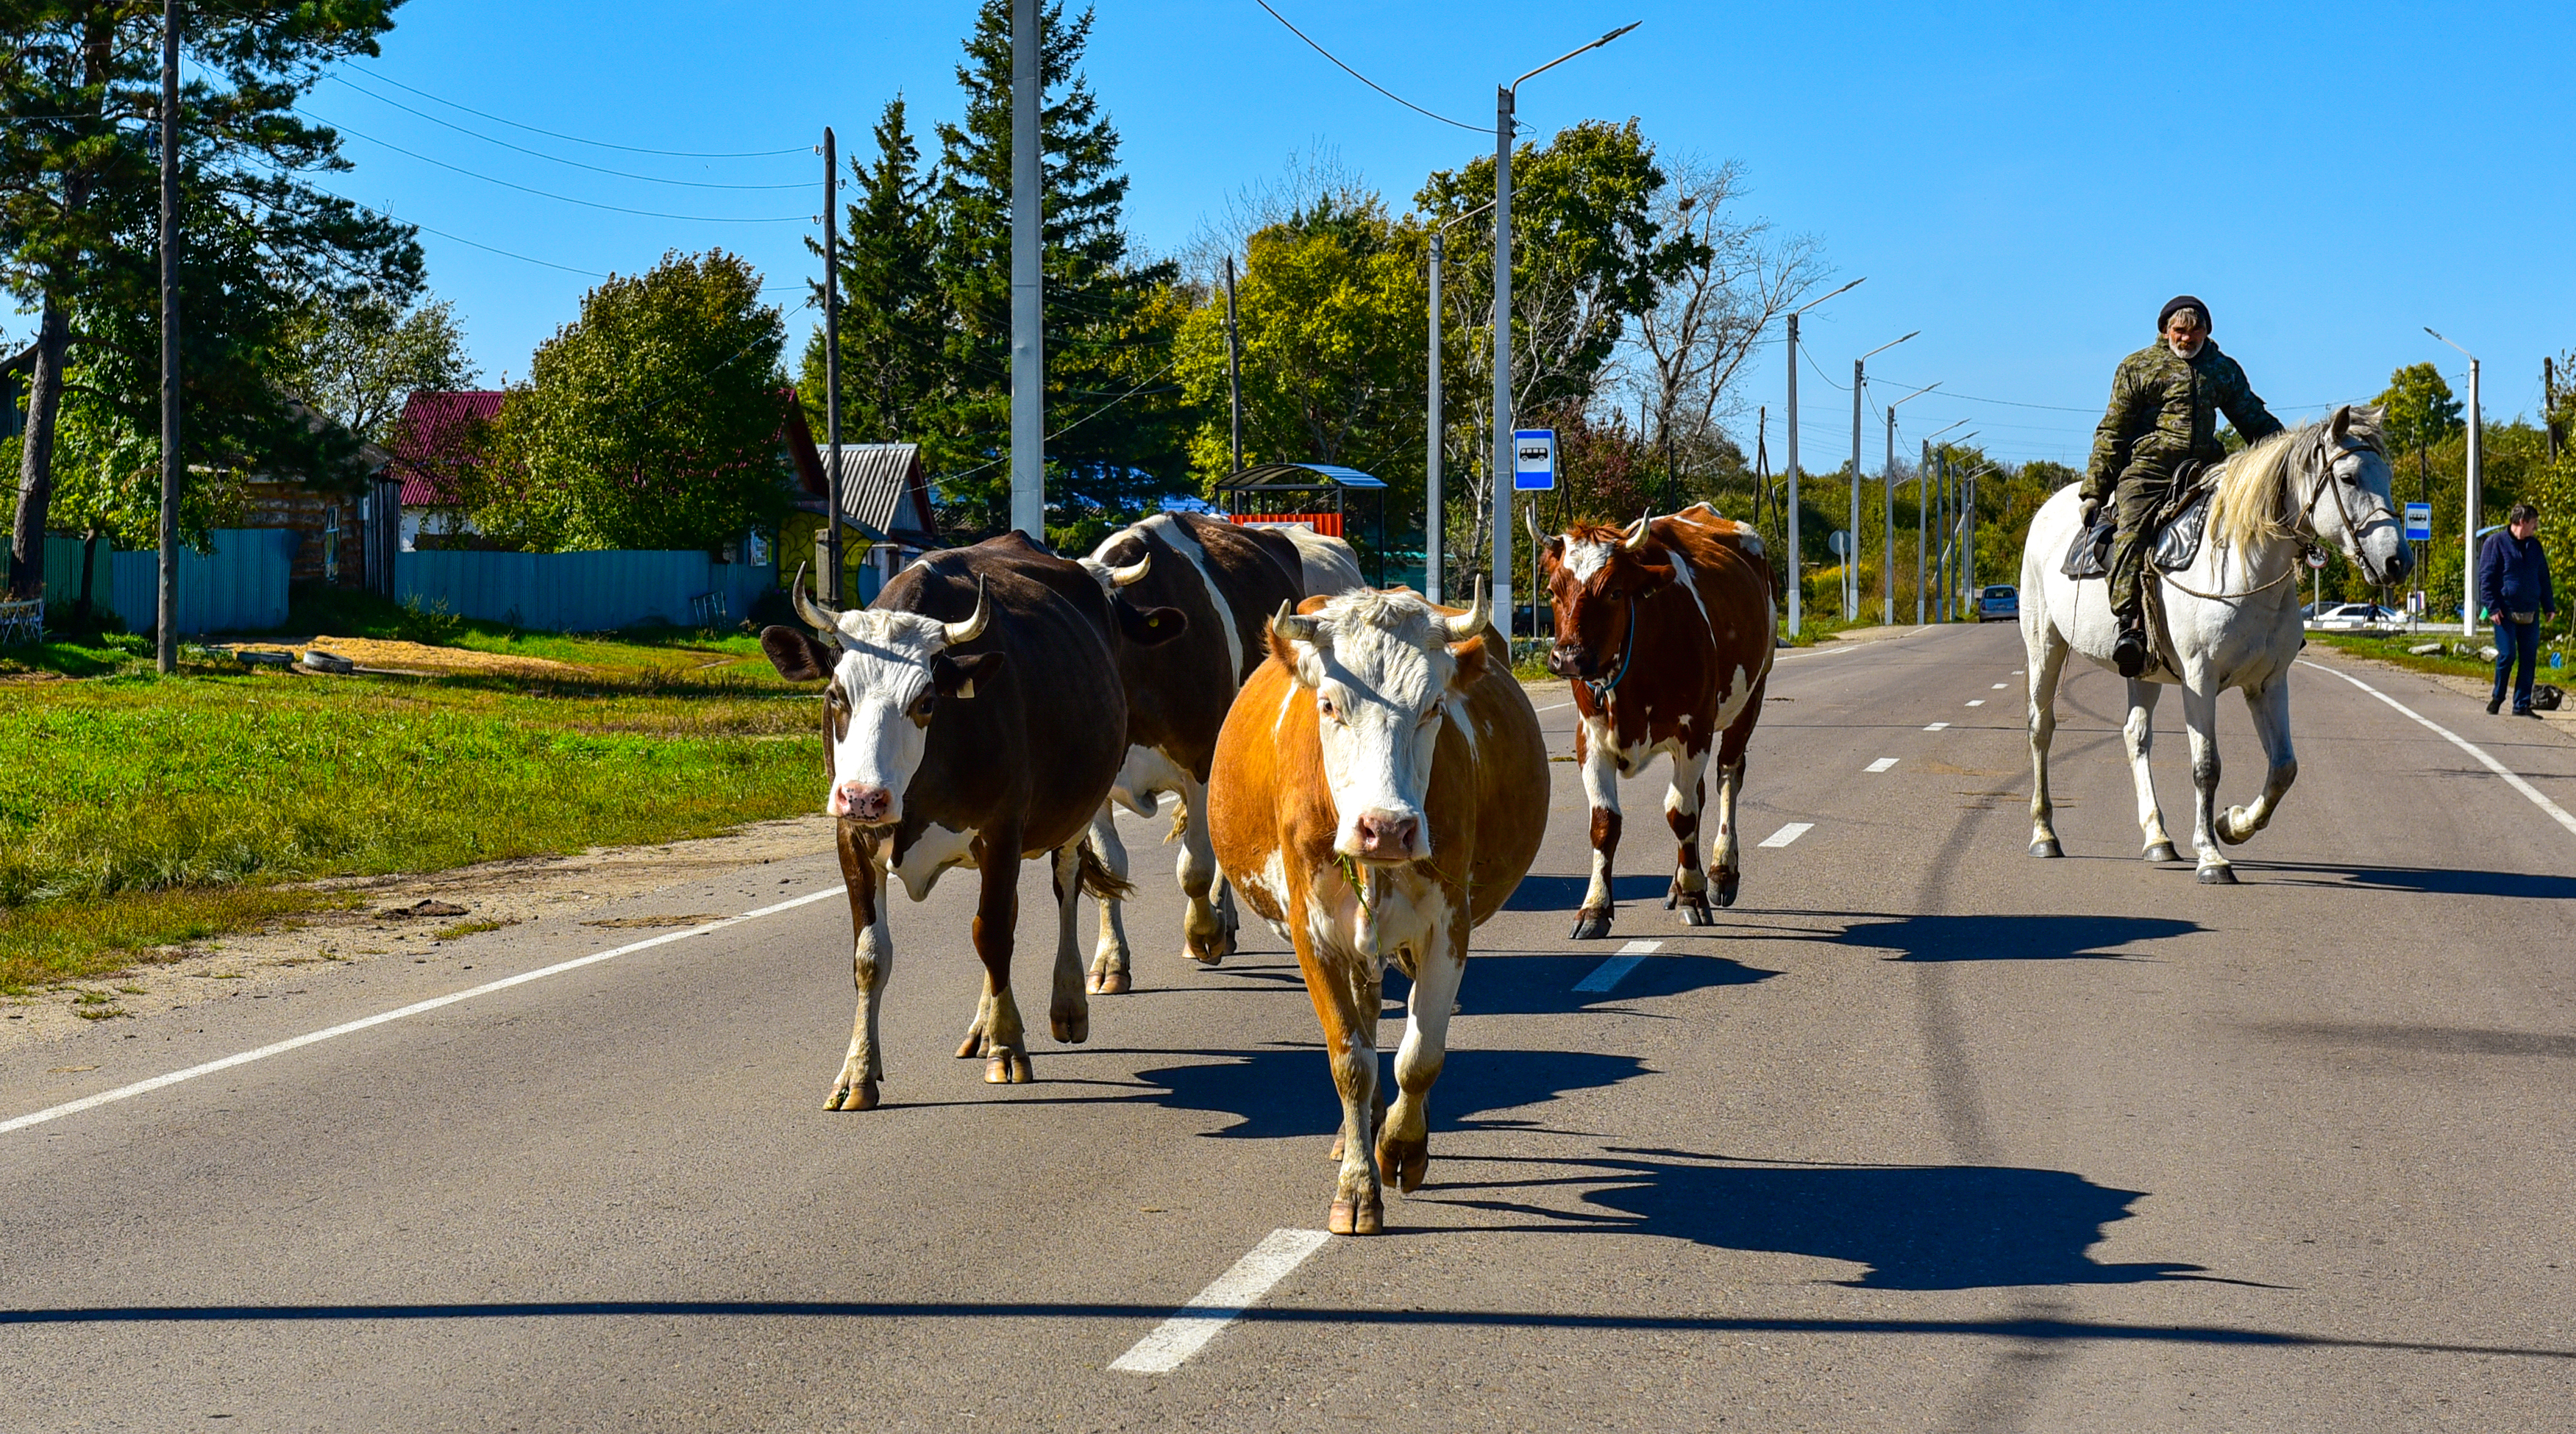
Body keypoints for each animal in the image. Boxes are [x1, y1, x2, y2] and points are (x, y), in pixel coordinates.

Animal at [752, 535, 1179, 1107]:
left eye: (926, 701)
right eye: (836, 696)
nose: (864, 797)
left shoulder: (1002, 830)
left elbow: (994, 934)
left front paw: (1009, 1047)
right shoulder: (852, 839)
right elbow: (870, 957)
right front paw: (857, 1072)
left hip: (1077, 809)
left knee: (1065, 887)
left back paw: (1066, 1004)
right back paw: (983, 1027)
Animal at [1076, 510, 1381, 988]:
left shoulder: (1201, 767)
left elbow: (1195, 868)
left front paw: (1204, 934)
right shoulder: (1102, 786)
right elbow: (1112, 870)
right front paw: (1110, 962)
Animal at [1205, 582, 1545, 1230]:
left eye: (1434, 707)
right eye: (1330, 705)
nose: (1386, 828)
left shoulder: (1449, 927)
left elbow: (1421, 1055)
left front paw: (1402, 1149)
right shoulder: (1312, 933)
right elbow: (1351, 1060)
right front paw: (1358, 1185)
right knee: (1365, 1024)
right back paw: (1353, 1131)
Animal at [1525, 499, 1772, 937]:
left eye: (1614, 591)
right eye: (1553, 591)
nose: (1567, 658)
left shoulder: (1694, 730)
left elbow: (1681, 813)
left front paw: (1694, 895)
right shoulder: (1590, 738)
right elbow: (1605, 823)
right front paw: (1595, 908)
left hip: (1750, 698)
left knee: (1728, 775)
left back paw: (1720, 873)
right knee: (1701, 792)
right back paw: (1677, 884)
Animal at [2029, 399, 2410, 870]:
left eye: (2387, 477)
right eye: (2348, 477)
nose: (2398, 561)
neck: (2244, 570)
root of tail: (2049, 509)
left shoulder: (2268, 683)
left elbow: (2284, 768)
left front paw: (2233, 825)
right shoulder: (2199, 680)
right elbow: (2206, 766)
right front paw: (2211, 856)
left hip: (2142, 669)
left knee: (2136, 736)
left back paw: (2157, 838)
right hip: (2044, 646)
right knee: (2042, 727)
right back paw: (2045, 834)